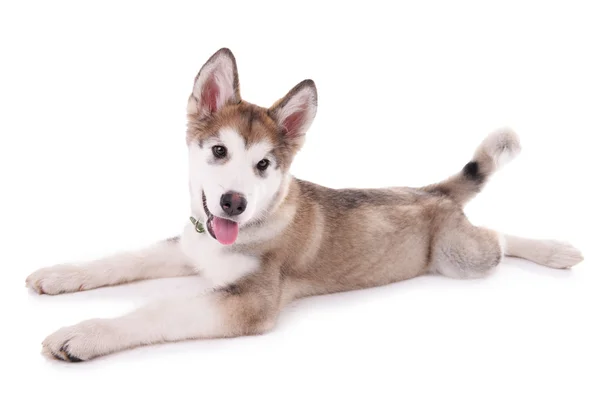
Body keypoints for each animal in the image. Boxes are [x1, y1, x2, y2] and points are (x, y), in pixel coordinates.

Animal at [25, 48, 584, 360]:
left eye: (264, 165)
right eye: (219, 151)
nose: (233, 203)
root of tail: (430, 192)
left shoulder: (250, 301)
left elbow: (157, 310)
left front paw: (83, 334)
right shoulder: (187, 246)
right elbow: (122, 258)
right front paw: (58, 275)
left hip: (458, 257)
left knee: (497, 238)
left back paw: (557, 250)